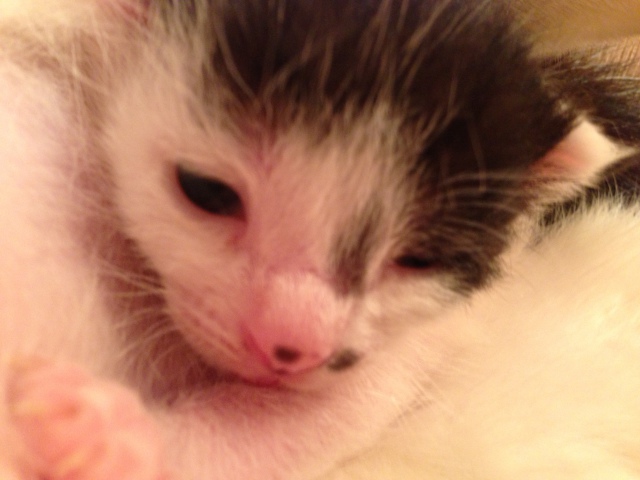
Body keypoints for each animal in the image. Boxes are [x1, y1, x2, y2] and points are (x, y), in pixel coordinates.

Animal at [0, 1, 638, 479]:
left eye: (418, 258)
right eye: (205, 190)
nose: (291, 347)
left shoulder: (432, 336)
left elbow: (313, 421)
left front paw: (103, 436)